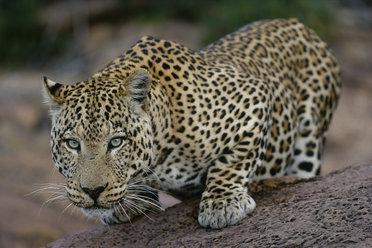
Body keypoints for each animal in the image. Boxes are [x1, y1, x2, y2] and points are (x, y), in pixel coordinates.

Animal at [42, 18, 340, 230]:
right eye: (72, 144)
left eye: (116, 142)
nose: (92, 192)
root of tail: (296, 22)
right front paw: (130, 202)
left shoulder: (253, 98)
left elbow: (231, 164)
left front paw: (222, 205)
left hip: (310, 139)